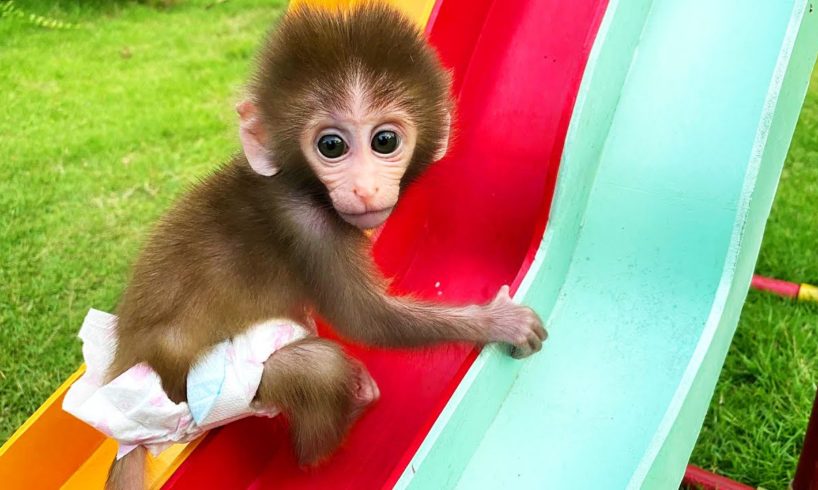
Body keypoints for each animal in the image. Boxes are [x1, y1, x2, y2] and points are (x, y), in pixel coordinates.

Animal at [107, 3, 540, 490]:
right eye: (331, 146)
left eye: (385, 141)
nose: (365, 188)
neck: (302, 187)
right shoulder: (311, 231)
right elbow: (365, 319)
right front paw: (498, 321)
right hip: (202, 392)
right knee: (317, 367)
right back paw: (331, 433)